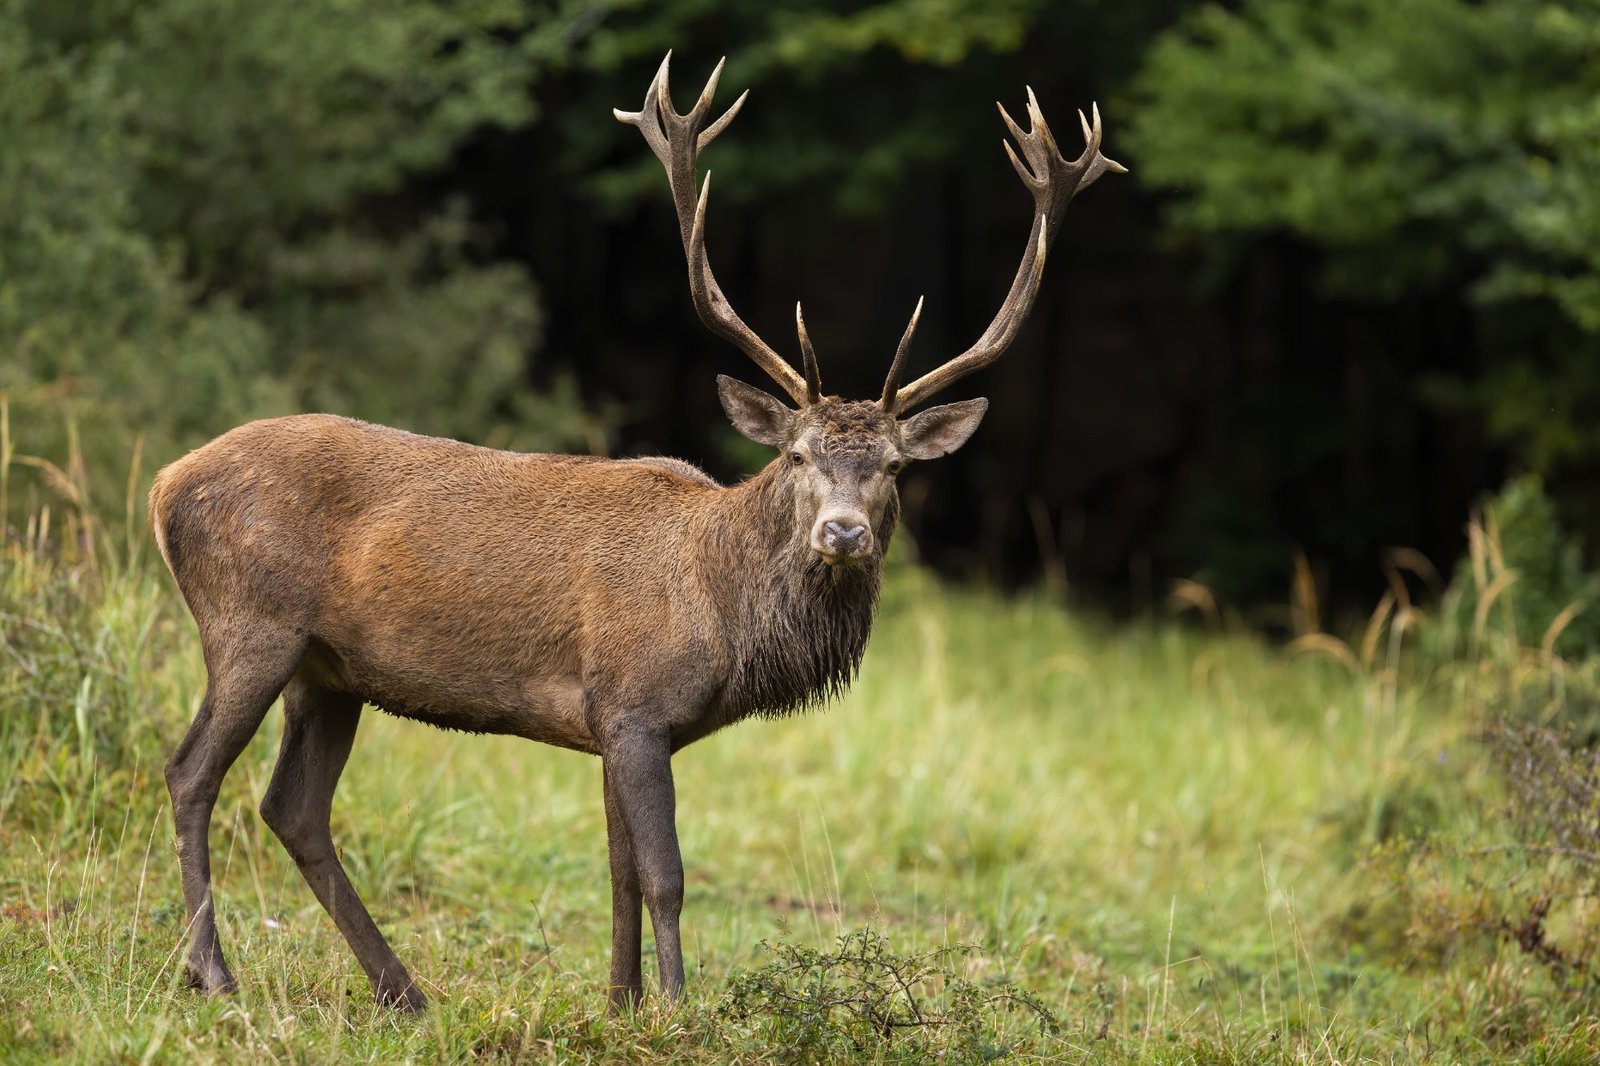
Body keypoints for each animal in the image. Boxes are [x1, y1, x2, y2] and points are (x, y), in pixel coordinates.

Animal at [147, 52, 1123, 1014]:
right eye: (799, 455)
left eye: (891, 466)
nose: (843, 534)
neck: (725, 616)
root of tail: (165, 485)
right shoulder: (638, 703)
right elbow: (666, 877)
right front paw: (680, 1013)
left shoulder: (607, 719)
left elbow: (616, 874)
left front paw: (619, 1005)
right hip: (251, 623)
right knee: (193, 771)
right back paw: (214, 973)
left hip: (330, 671)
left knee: (293, 808)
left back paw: (403, 990)